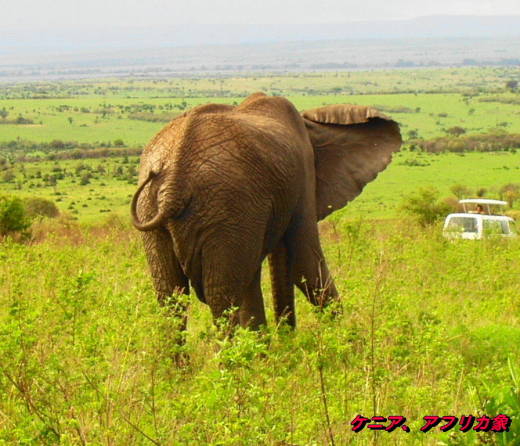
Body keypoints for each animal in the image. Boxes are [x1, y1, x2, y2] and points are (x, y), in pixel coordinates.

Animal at [131, 92, 402, 332]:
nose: (288, 336)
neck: (310, 124)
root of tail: (173, 179)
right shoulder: (301, 178)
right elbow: (304, 260)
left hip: (156, 206)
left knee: (171, 299)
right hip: (224, 206)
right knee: (221, 297)